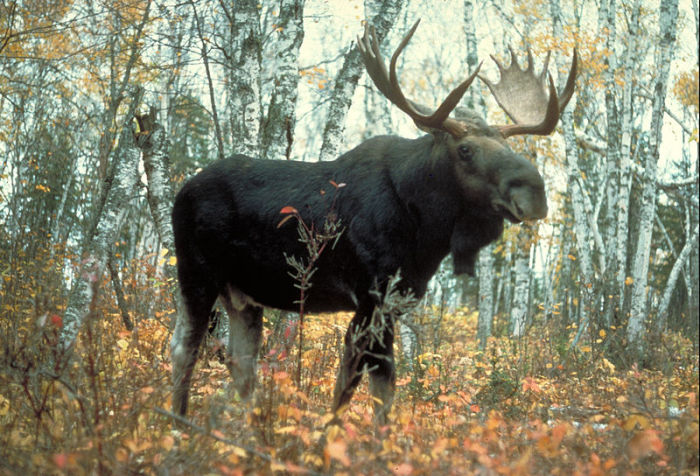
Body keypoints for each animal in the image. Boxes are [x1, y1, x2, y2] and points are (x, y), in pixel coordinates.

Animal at [170, 20, 576, 426]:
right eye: (465, 150)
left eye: (509, 148)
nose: (535, 191)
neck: (426, 231)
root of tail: (181, 190)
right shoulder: (371, 295)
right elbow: (357, 385)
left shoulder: (395, 301)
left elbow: (378, 389)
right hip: (196, 274)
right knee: (184, 349)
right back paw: (179, 424)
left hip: (242, 296)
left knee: (241, 365)